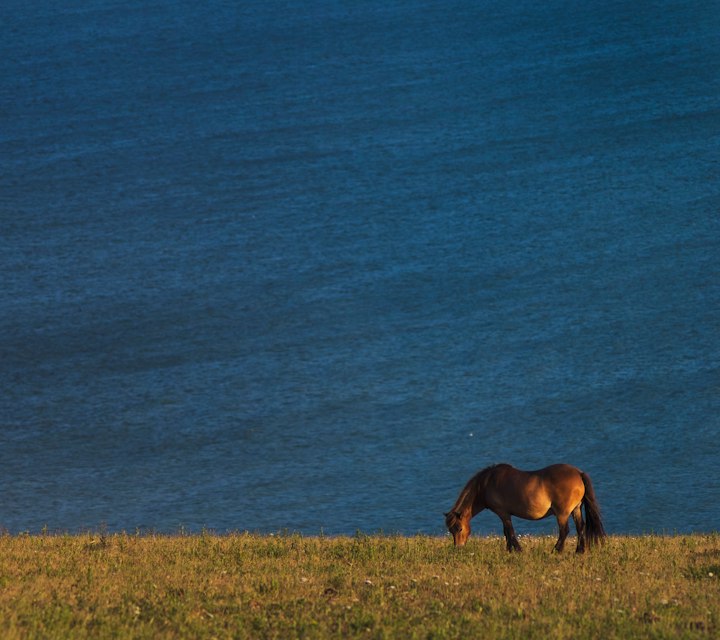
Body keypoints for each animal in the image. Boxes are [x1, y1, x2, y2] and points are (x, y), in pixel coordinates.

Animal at [448, 462, 604, 552]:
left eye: (459, 528)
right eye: (451, 530)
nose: (458, 548)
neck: (487, 483)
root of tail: (578, 473)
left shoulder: (503, 513)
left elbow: (510, 532)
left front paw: (517, 550)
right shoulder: (504, 514)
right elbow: (506, 532)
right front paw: (509, 550)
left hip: (562, 513)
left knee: (564, 531)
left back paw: (556, 550)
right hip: (575, 509)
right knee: (580, 527)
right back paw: (579, 551)